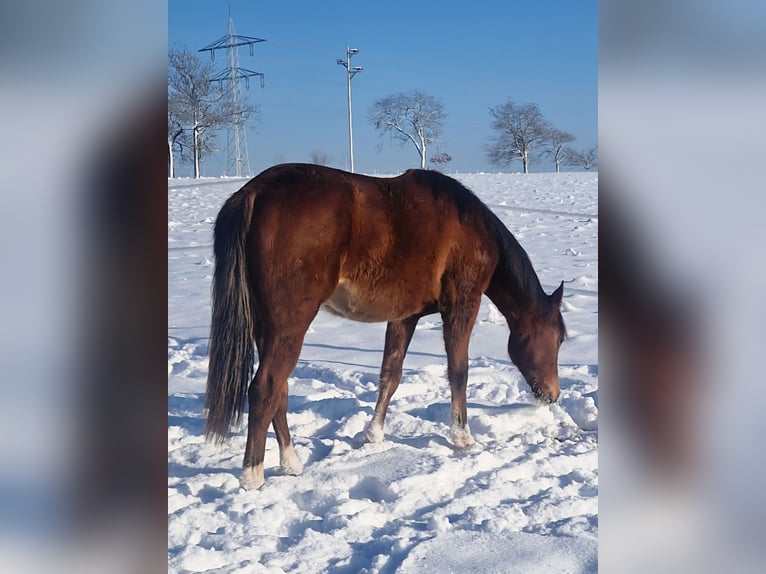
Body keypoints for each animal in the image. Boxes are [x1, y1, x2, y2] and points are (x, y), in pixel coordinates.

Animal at [205, 163, 566, 490]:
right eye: (559, 338)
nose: (553, 395)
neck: (470, 228)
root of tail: (255, 192)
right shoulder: (462, 306)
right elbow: (459, 371)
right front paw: (462, 437)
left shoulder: (404, 316)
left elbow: (390, 375)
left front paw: (373, 434)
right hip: (289, 325)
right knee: (265, 387)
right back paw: (252, 476)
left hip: (268, 327)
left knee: (279, 389)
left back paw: (291, 463)